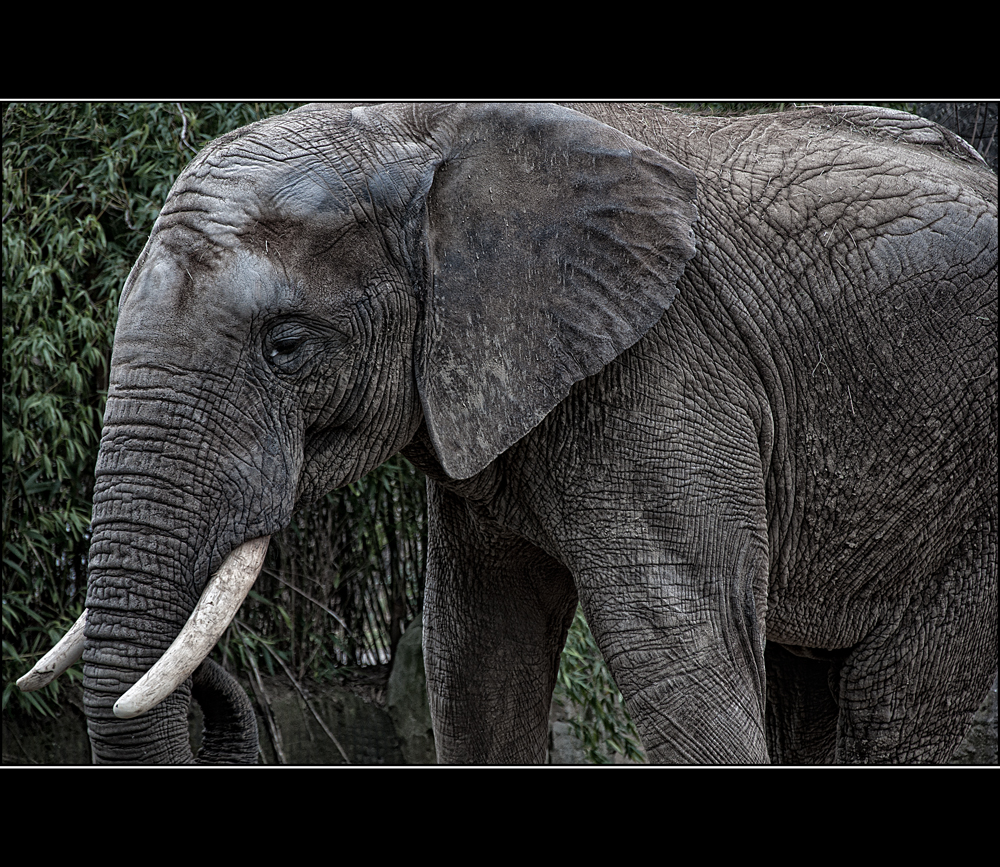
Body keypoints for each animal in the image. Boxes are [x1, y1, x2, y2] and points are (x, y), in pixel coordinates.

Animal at [19, 103, 996, 768]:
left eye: (287, 345)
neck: (421, 132)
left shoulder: (666, 368)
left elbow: (680, 650)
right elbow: (474, 659)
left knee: (895, 706)